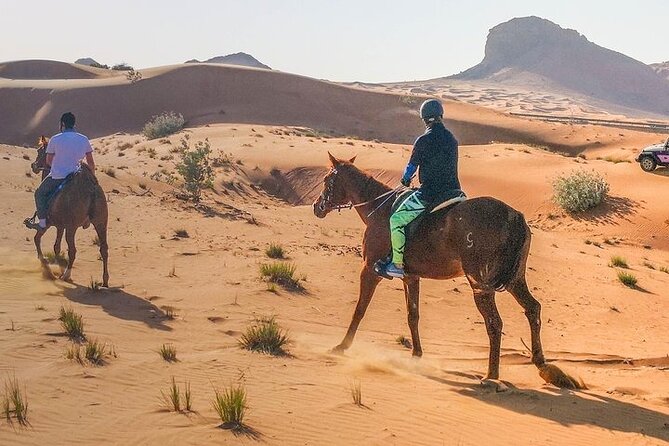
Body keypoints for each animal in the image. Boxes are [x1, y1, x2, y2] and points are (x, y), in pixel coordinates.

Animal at [29, 149, 109, 287]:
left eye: (40, 151)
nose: (34, 165)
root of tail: (91, 191)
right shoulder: (60, 226)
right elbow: (56, 247)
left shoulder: (50, 224)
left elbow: (37, 239)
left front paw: (45, 264)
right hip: (101, 222)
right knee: (104, 249)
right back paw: (105, 281)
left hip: (72, 227)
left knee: (72, 250)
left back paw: (66, 275)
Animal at [313, 153, 581, 389]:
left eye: (327, 180)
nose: (317, 207)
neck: (378, 209)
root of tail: (515, 217)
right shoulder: (410, 276)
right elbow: (413, 315)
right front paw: (416, 355)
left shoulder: (370, 270)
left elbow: (360, 309)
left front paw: (341, 346)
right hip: (516, 279)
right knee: (532, 309)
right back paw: (541, 364)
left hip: (480, 284)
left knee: (494, 323)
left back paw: (491, 376)